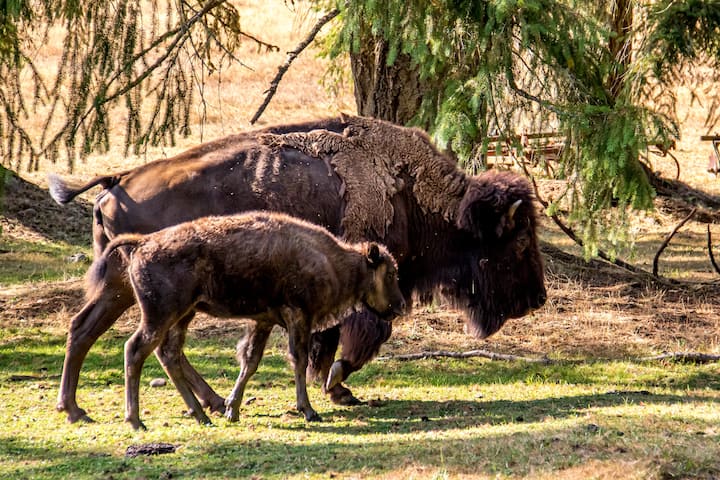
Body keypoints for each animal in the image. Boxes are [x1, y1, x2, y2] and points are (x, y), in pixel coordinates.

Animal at [50, 114, 546, 424]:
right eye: (520, 240)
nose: (537, 298)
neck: (408, 191)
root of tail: (117, 181)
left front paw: (329, 387)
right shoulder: (359, 290)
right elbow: (354, 337)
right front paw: (337, 385)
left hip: (125, 289)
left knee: (87, 328)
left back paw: (82, 408)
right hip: (154, 296)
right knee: (132, 340)